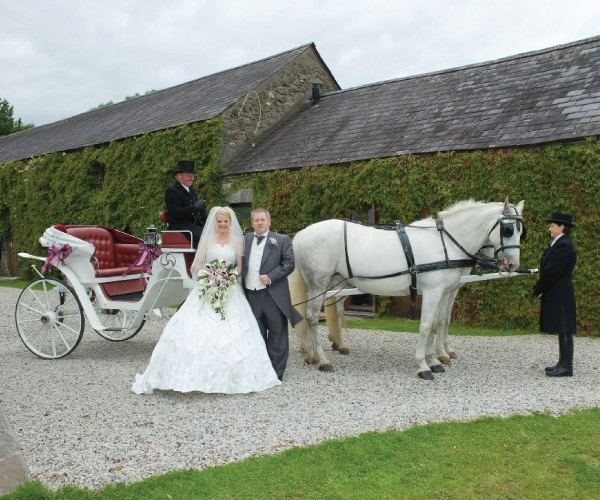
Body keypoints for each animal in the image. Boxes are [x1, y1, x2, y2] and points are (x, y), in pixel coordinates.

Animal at [290, 199, 524, 378]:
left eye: (522, 232)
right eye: (508, 229)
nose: (512, 265)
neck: (444, 243)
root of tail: (302, 233)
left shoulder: (443, 291)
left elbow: (438, 323)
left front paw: (435, 360)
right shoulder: (433, 292)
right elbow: (426, 326)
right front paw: (423, 365)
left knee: (325, 313)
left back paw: (318, 353)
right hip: (317, 284)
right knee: (311, 318)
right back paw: (323, 361)